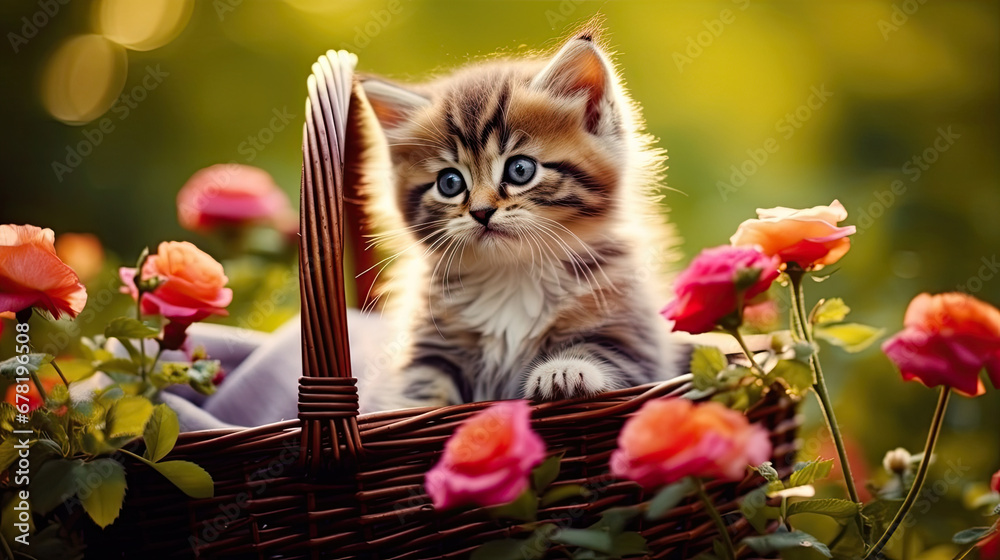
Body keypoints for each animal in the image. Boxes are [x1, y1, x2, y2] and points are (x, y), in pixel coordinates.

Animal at [356, 26, 684, 410]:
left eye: (520, 169)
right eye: (450, 183)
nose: (481, 211)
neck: (514, 273)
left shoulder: (631, 333)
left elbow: (607, 354)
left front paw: (563, 371)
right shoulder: (432, 350)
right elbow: (419, 391)